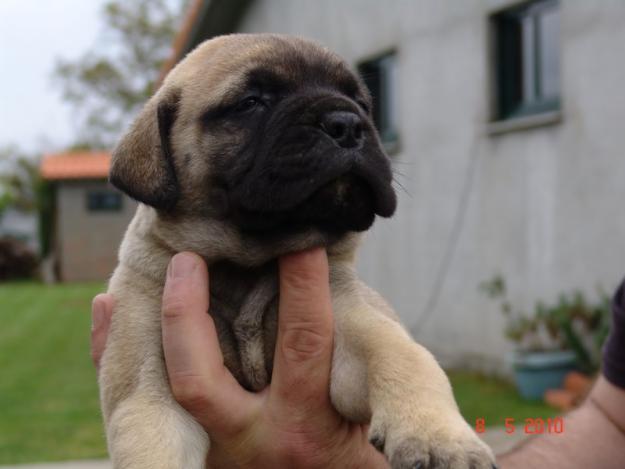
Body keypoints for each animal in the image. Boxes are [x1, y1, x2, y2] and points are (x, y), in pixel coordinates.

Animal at [100, 33, 494, 468]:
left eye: (362, 103)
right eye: (252, 101)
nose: (347, 124)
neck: (247, 264)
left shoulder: (350, 322)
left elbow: (403, 355)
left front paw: (438, 436)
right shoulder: (147, 382)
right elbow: (151, 439)